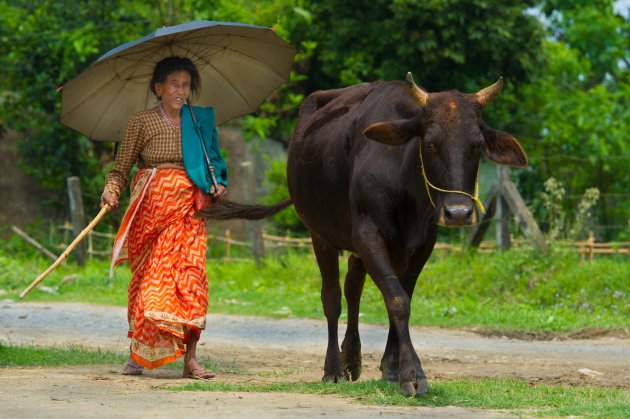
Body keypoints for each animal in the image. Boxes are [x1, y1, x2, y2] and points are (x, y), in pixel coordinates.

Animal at [199, 74, 528, 398]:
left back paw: (352, 359)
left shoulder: (422, 243)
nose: (458, 213)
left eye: (477, 144)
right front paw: (413, 375)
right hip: (321, 234)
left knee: (352, 287)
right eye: (431, 142)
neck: (404, 180)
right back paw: (334, 368)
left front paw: (393, 369)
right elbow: (397, 299)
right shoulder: (369, 235)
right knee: (332, 296)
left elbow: (401, 296)